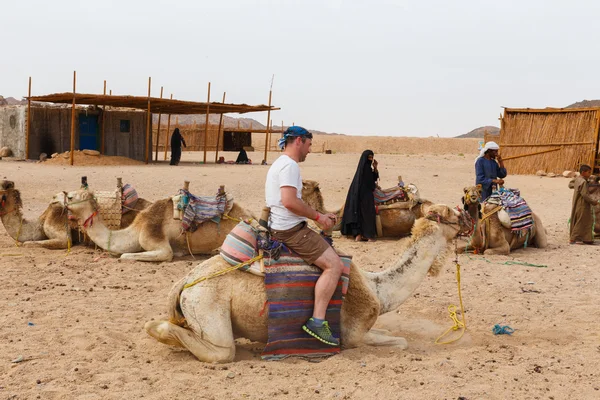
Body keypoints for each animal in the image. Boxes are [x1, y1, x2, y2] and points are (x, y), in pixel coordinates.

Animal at [143, 203, 472, 362]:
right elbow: (401, 342)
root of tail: (186, 280)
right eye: (455, 214)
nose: (471, 217)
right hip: (207, 304)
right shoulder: (352, 335)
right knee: (221, 350)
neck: (378, 288)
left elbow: (395, 335)